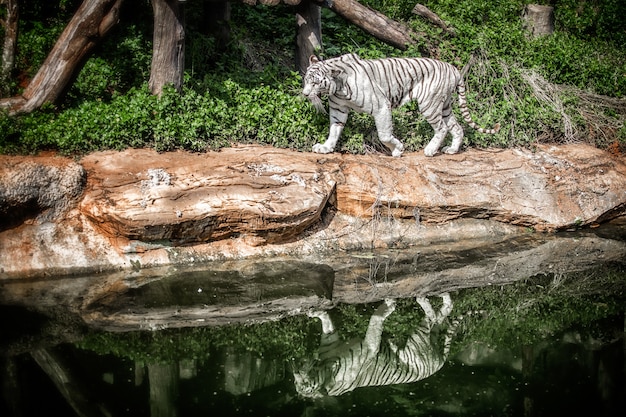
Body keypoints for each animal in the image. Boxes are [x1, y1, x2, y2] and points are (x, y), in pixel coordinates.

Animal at [292, 292, 454, 396]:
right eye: (298, 382)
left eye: (304, 383)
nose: (296, 367)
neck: (325, 368)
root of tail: (439, 364)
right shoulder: (368, 348)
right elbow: (375, 321)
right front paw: (390, 304)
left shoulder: (337, 338)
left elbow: (373, 320)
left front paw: (314, 312)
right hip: (420, 337)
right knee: (437, 316)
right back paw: (428, 299)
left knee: (440, 314)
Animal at [300, 54, 500, 158]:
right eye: (306, 80)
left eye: (316, 83)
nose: (305, 94)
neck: (338, 88)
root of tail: (454, 69)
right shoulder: (338, 109)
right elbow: (334, 130)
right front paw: (325, 147)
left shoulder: (381, 106)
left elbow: (384, 135)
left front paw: (397, 149)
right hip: (445, 106)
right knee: (457, 127)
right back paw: (451, 150)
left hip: (429, 104)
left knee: (442, 128)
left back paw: (430, 150)